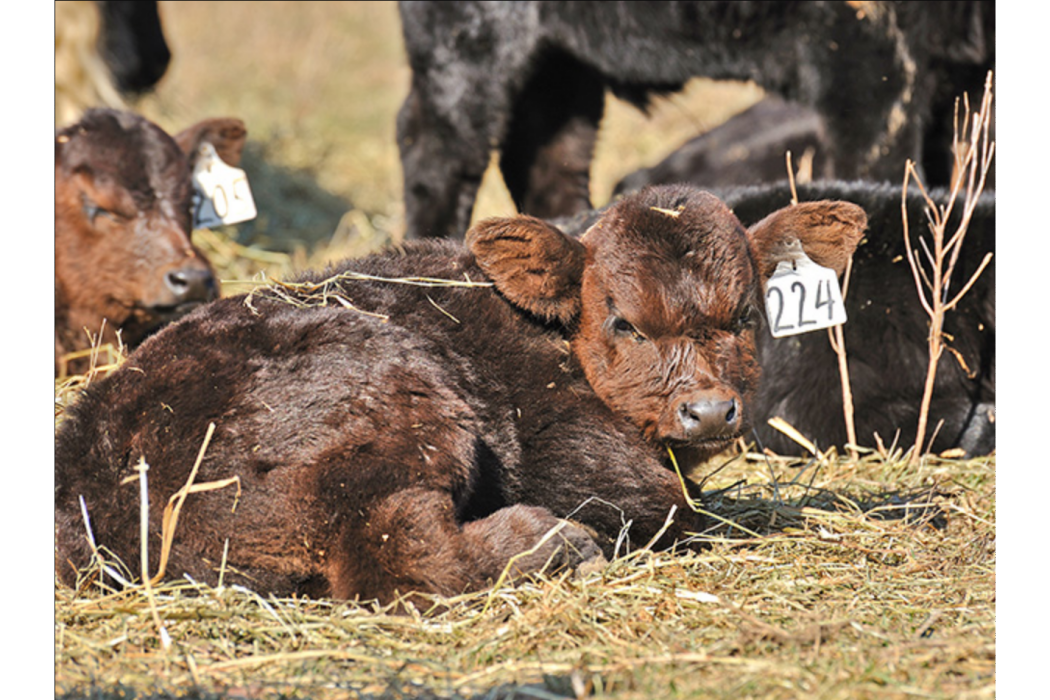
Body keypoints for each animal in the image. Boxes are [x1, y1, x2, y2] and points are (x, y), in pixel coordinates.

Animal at [53, 183, 865, 604]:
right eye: (625, 323)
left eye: (744, 316)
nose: (709, 410)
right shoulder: (589, 466)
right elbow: (671, 509)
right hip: (404, 409)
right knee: (400, 551)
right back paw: (551, 543)